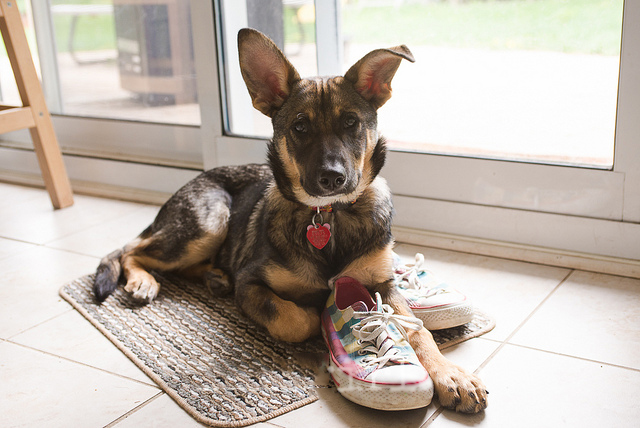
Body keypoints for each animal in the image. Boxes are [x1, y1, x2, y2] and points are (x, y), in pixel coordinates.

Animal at [94, 28, 484, 412]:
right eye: (300, 127)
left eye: (351, 123)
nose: (332, 178)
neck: (328, 214)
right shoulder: (251, 283)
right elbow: (296, 319)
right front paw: (318, 319)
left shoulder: (383, 284)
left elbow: (417, 328)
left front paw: (452, 375)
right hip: (209, 221)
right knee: (131, 249)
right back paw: (145, 281)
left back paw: (214, 277)